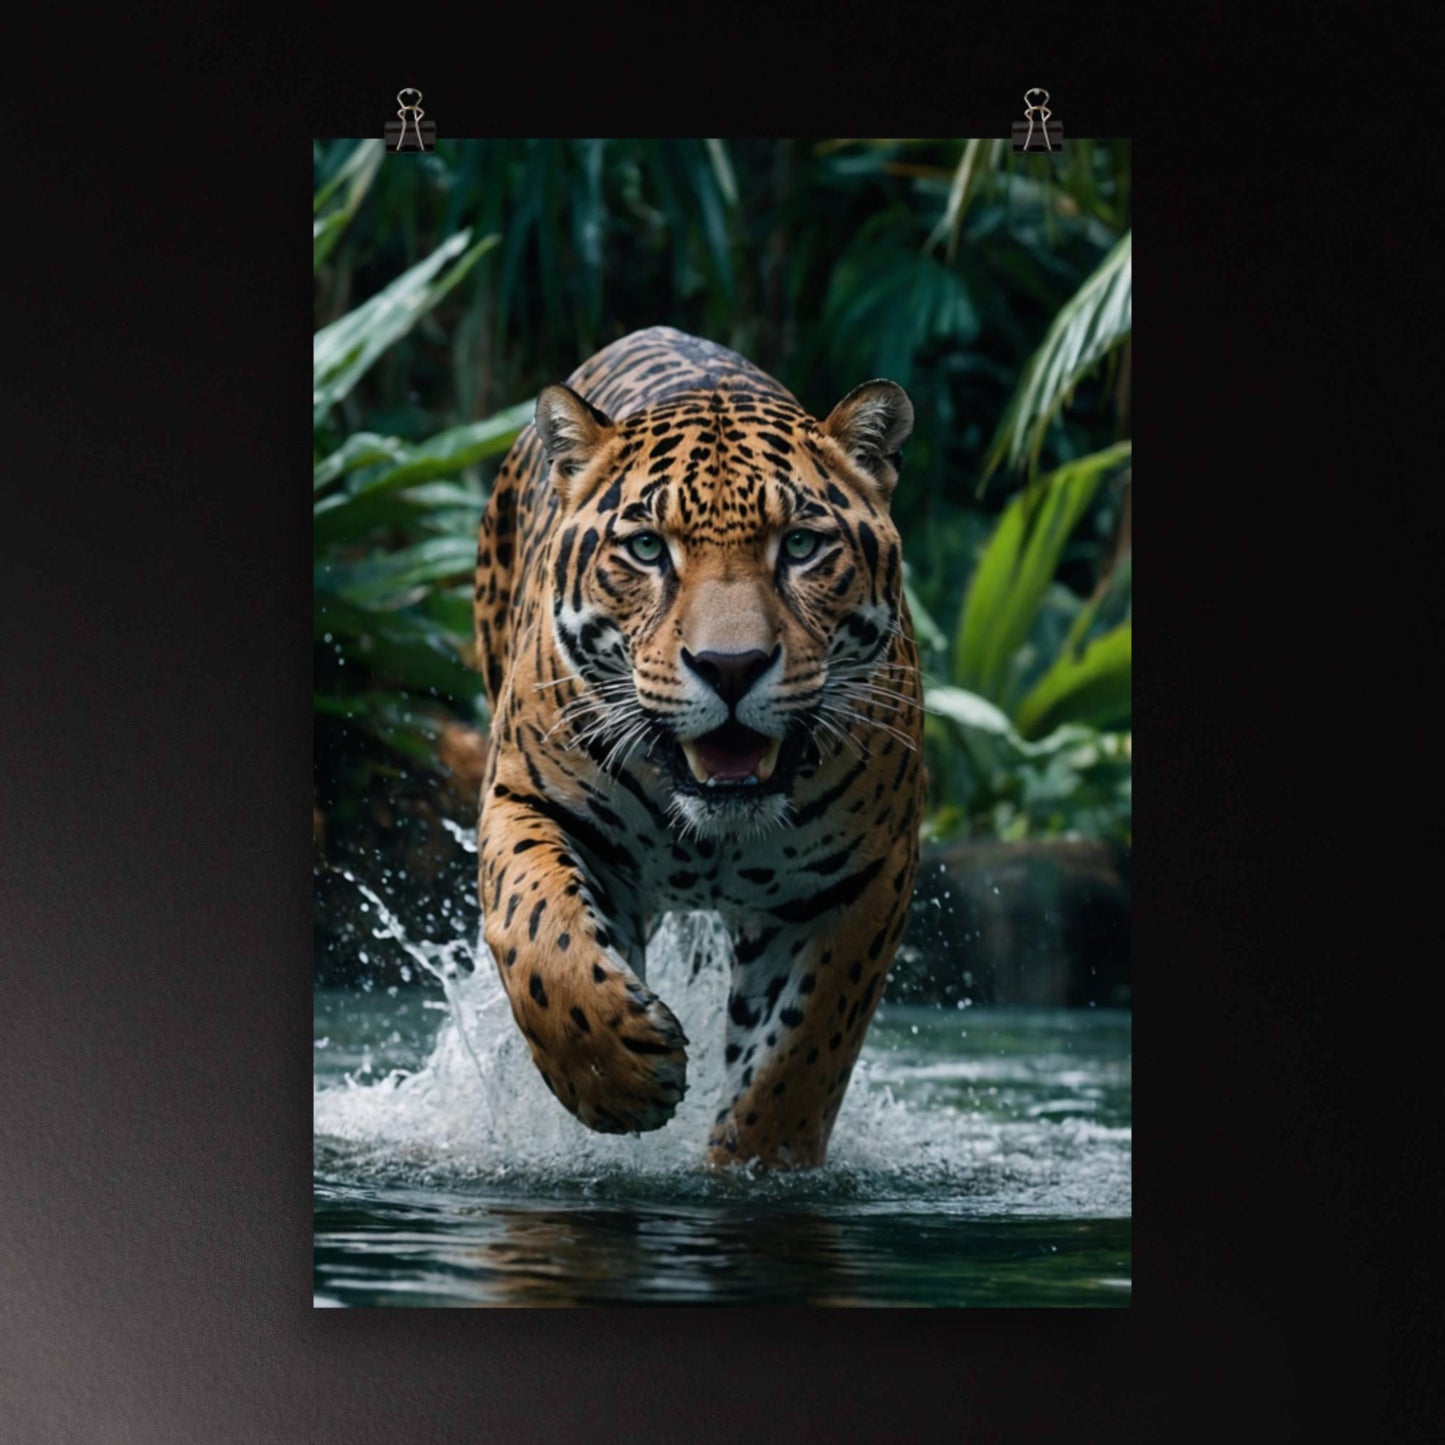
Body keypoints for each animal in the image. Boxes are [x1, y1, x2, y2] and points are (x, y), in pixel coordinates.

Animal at [472, 326, 923, 1170]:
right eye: (648, 549)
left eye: (801, 545)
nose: (730, 665)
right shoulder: (527, 798)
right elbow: (540, 937)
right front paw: (615, 1076)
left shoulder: (864, 874)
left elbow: (806, 1044)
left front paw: (761, 1160)